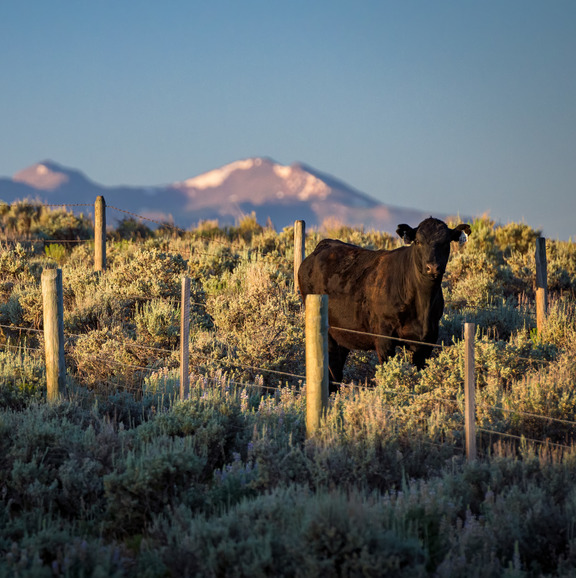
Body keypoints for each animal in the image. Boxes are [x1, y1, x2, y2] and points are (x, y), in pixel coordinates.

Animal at [300, 217, 470, 392]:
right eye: (418, 241)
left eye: (446, 242)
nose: (432, 267)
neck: (423, 305)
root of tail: (324, 244)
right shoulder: (384, 338)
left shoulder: (427, 339)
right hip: (327, 333)